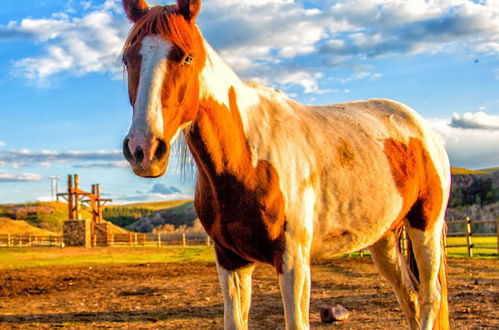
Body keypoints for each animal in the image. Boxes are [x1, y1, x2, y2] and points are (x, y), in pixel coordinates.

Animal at [122, 1, 454, 328]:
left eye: (187, 57)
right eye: (126, 59)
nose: (144, 149)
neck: (248, 158)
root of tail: (421, 129)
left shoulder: (293, 261)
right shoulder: (231, 261)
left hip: (425, 227)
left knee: (429, 297)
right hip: (384, 238)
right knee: (409, 298)